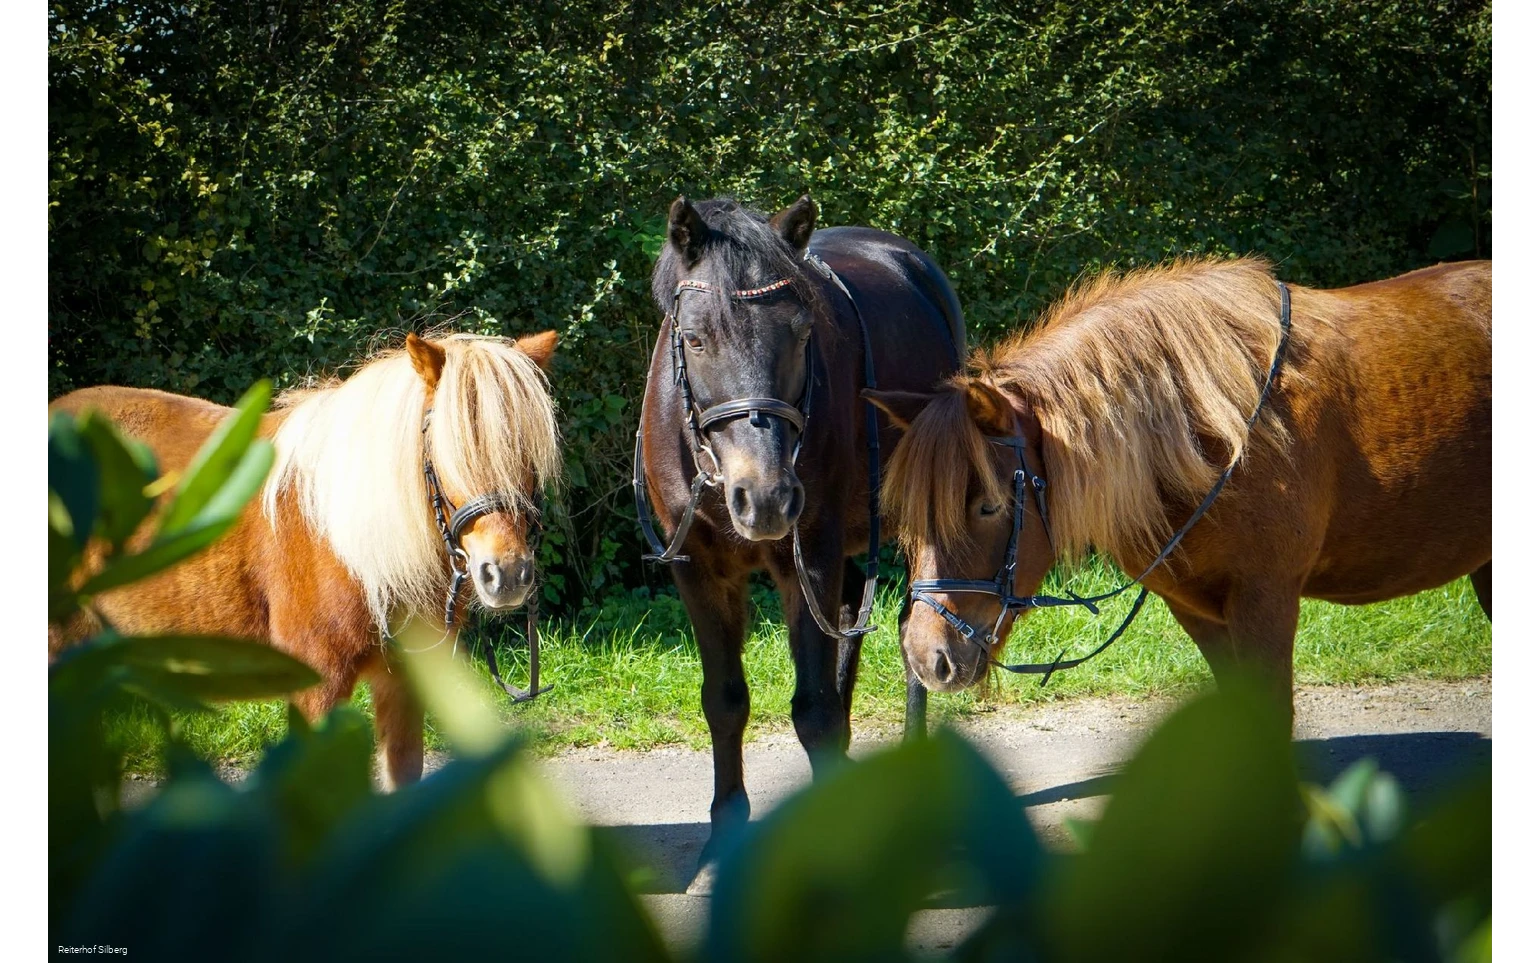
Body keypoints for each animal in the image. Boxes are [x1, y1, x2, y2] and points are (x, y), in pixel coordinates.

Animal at [48, 331, 562, 787]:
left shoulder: (403, 683)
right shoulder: (317, 686)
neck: (350, 543)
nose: (506, 575)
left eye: (528, 453)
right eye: (446, 449)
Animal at [635, 195, 965, 888]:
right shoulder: (696, 570)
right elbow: (726, 701)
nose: (765, 497)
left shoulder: (808, 557)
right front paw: (723, 839)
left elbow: (814, 710)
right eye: (695, 337)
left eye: (802, 332)